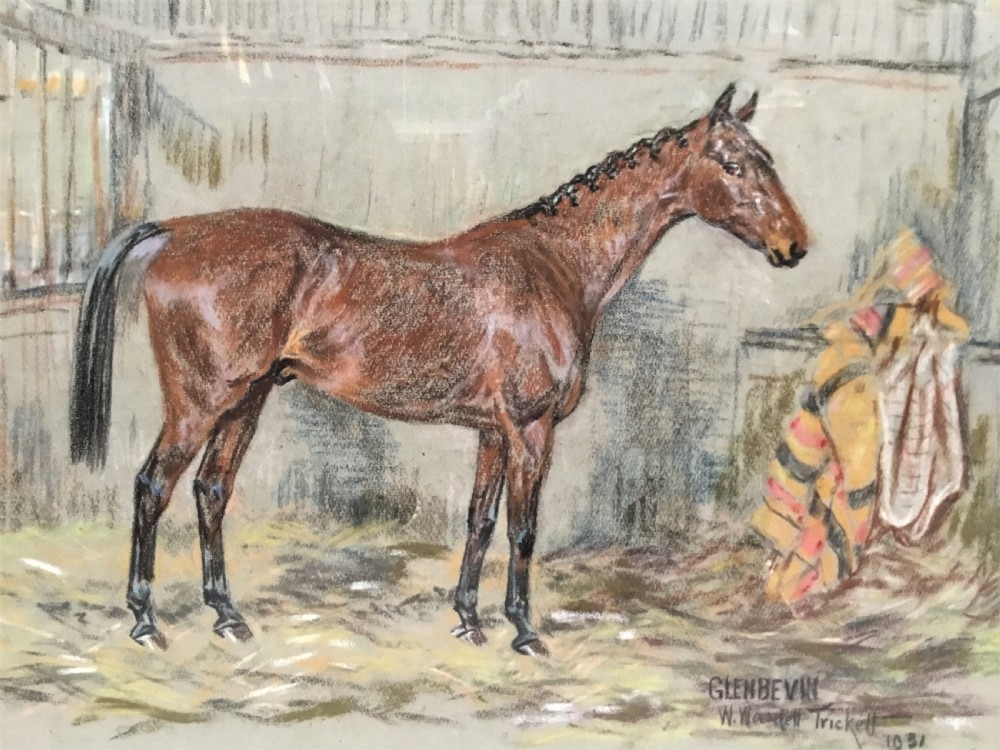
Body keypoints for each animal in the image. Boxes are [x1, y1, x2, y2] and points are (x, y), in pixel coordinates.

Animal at [69, 83, 809, 656]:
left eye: (767, 159)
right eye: (734, 164)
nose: (795, 245)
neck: (554, 266)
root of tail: (177, 230)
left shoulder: (492, 432)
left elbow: (479, 521)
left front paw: (469, 620)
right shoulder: (531, 430)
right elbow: (523, 529)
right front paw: (523, 632)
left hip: (246, 400)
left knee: (210, 491)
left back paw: (227, 616)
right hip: (200, 402)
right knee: (152, 487)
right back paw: (146, 621)